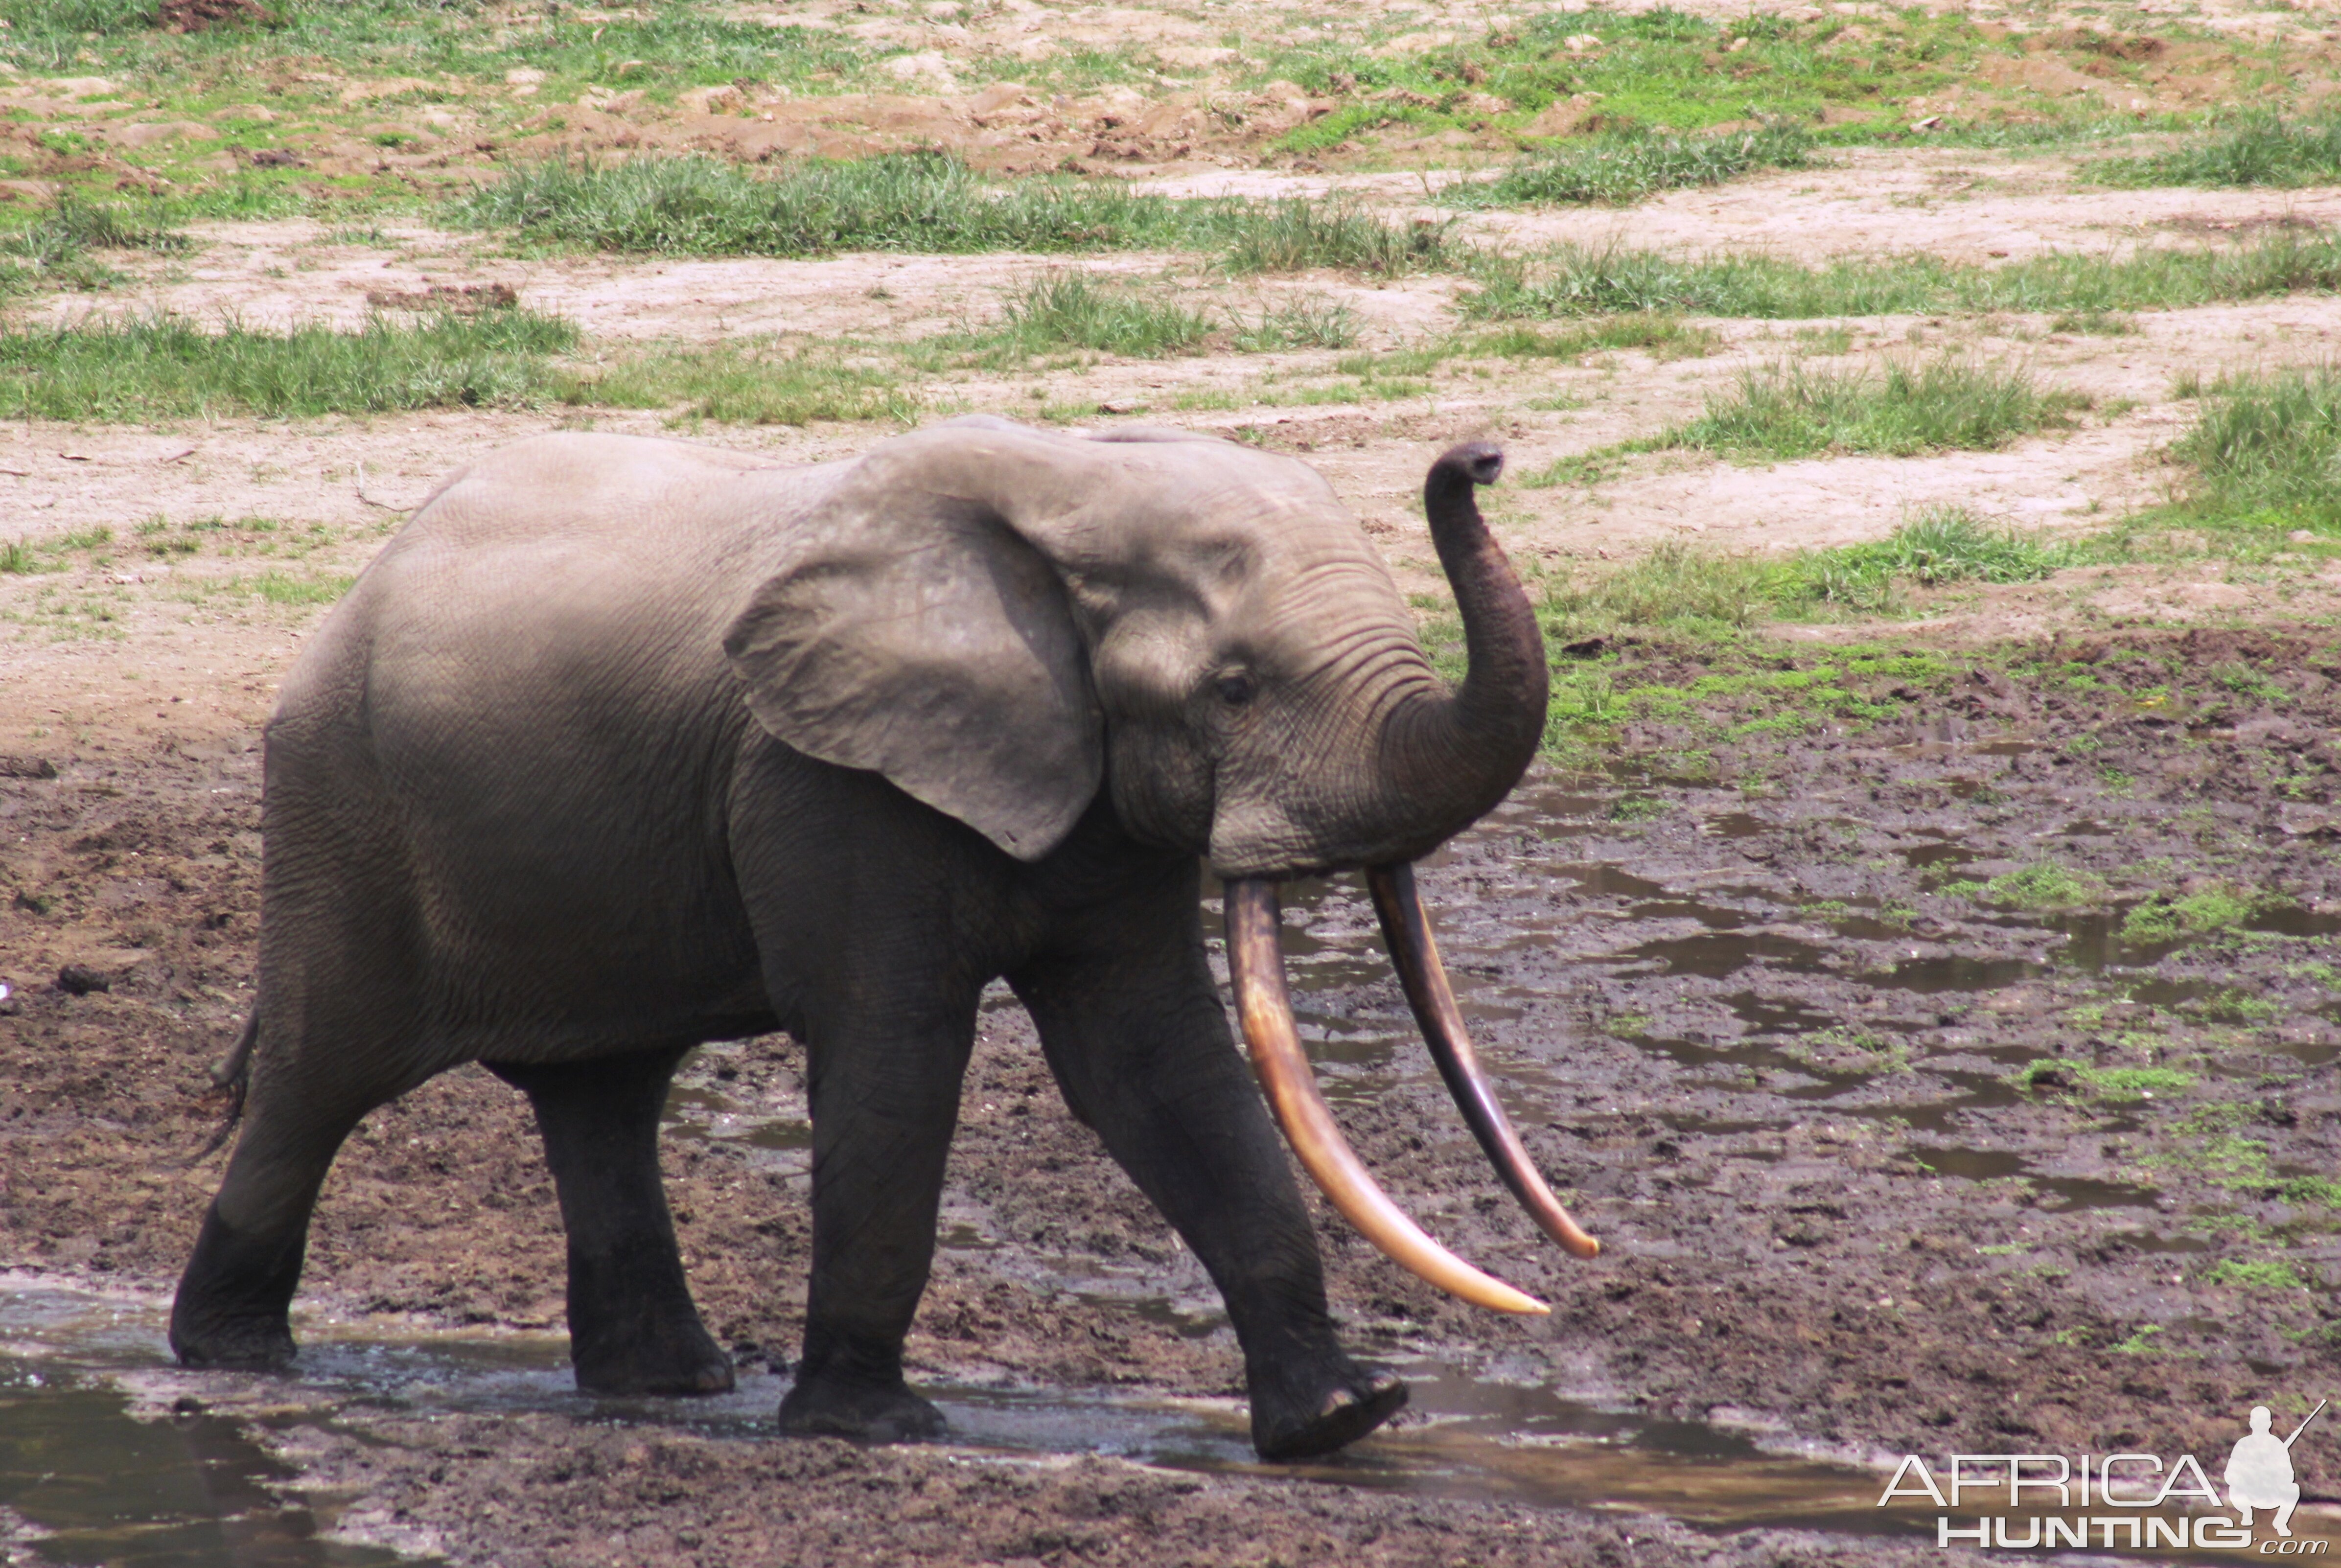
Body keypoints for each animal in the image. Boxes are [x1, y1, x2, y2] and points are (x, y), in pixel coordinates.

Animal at [169, 416, 1592, 1460]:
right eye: (1233, 689)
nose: (1476, 458)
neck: (1079, 489)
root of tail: (353, 589)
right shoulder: (824, 776)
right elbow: (896, 1052)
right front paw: (873, 1429)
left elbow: (1158, 1063)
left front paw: (1343, 1419)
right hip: (339, 803)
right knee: (320, 1081)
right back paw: (230, 1355)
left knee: (604, 1098)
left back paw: (670, 1384)